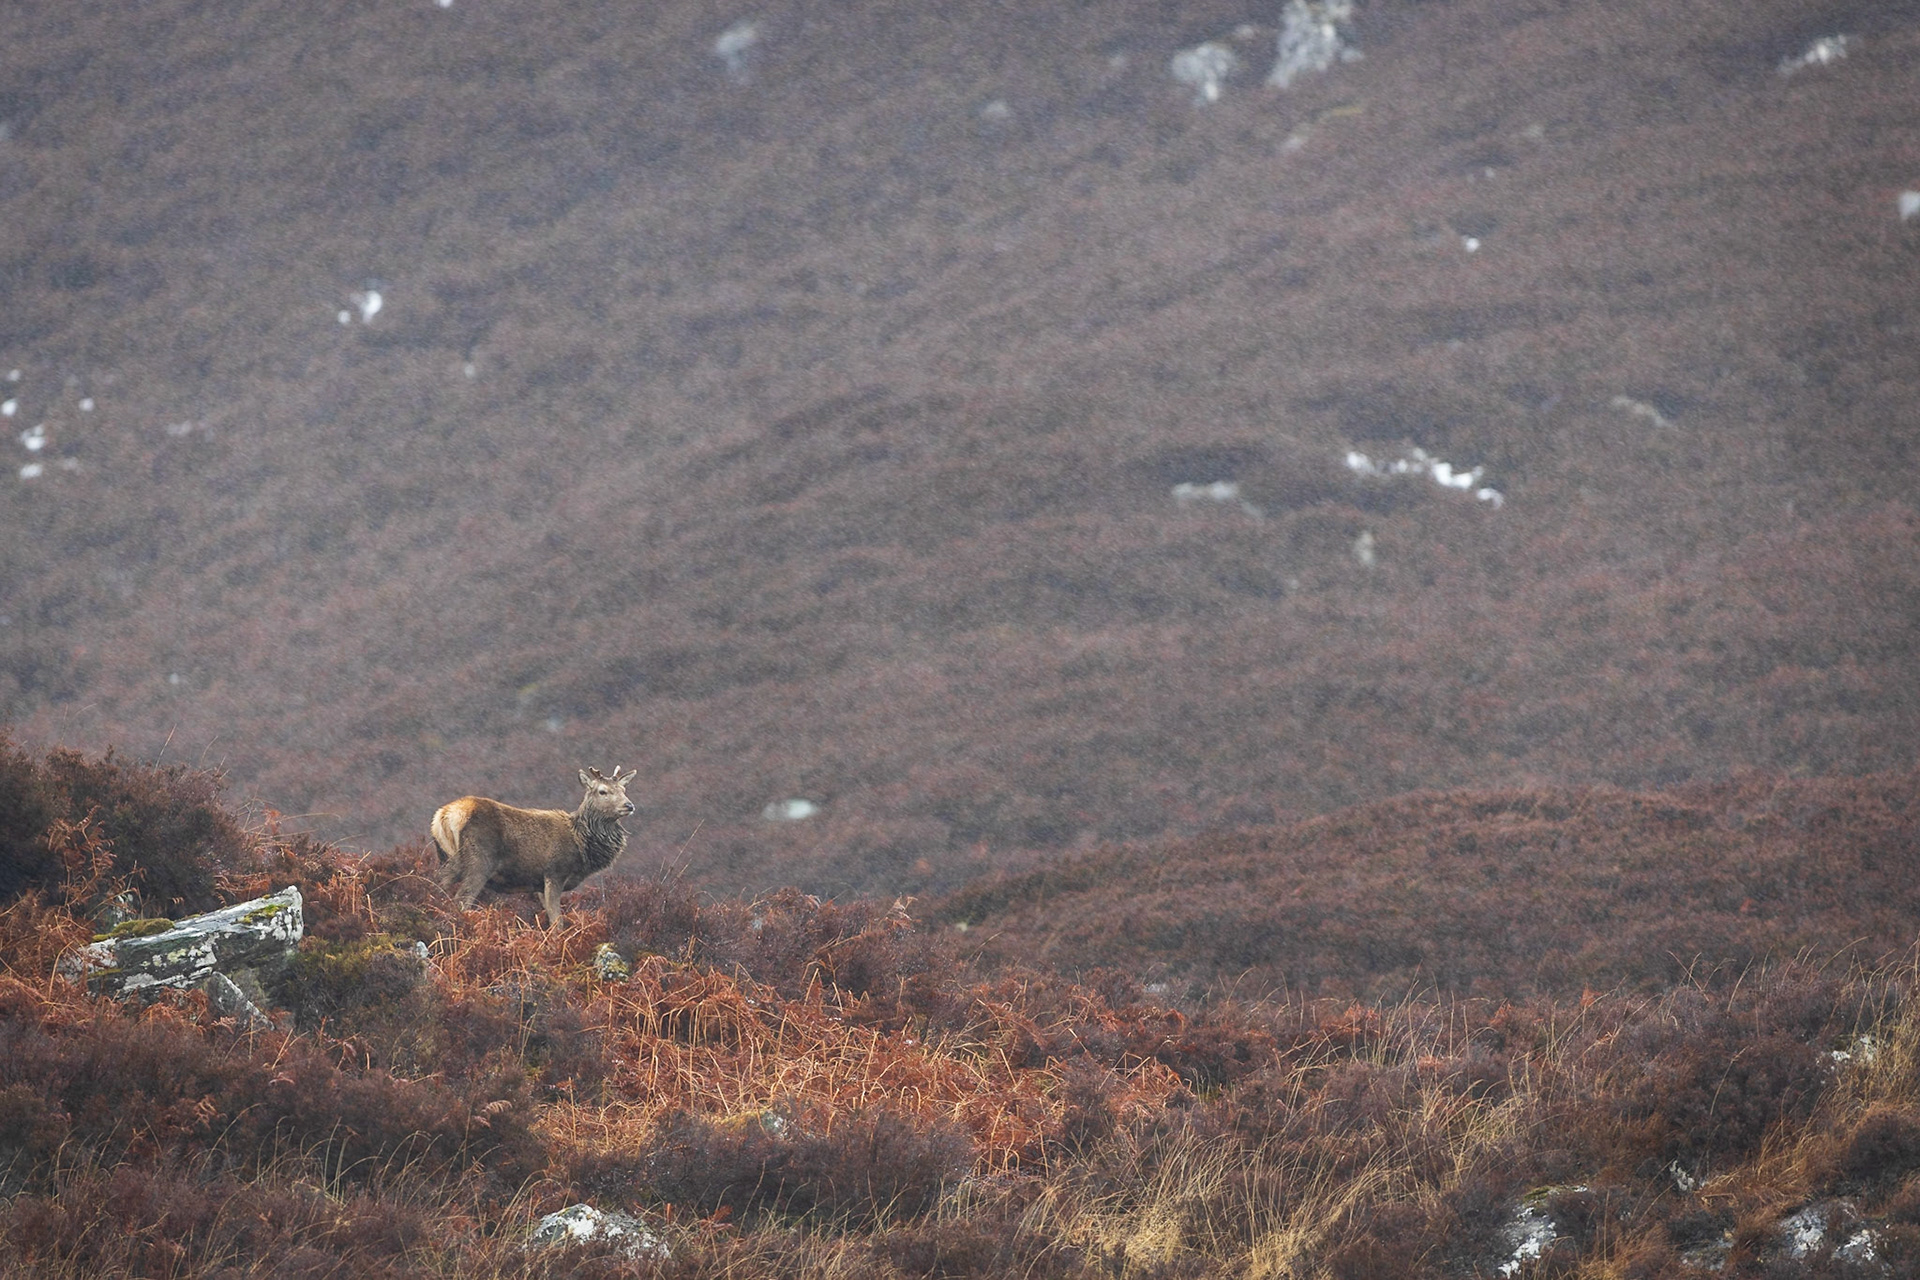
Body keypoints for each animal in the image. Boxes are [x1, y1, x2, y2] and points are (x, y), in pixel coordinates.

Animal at [431, 766, 636, 928]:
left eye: (623, 789)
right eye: (602, 791)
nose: (629, 805)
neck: (581, 846)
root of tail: (444, 815)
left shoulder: (538, 883)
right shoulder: (555, 872)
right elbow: (557, 921)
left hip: (446, 858)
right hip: (478, 862)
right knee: (461, 900)